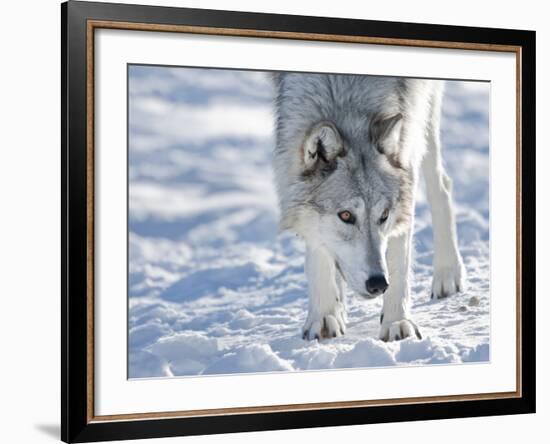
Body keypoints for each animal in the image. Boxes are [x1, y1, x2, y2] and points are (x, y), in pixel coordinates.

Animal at [272, 73, 466, 344]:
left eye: (384, 216)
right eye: (345, 215)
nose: (378, 284)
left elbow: (399, 257)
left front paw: (397, 323)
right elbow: (318, 248)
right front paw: (324, 316)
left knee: (441, 185)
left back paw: (448, 273)